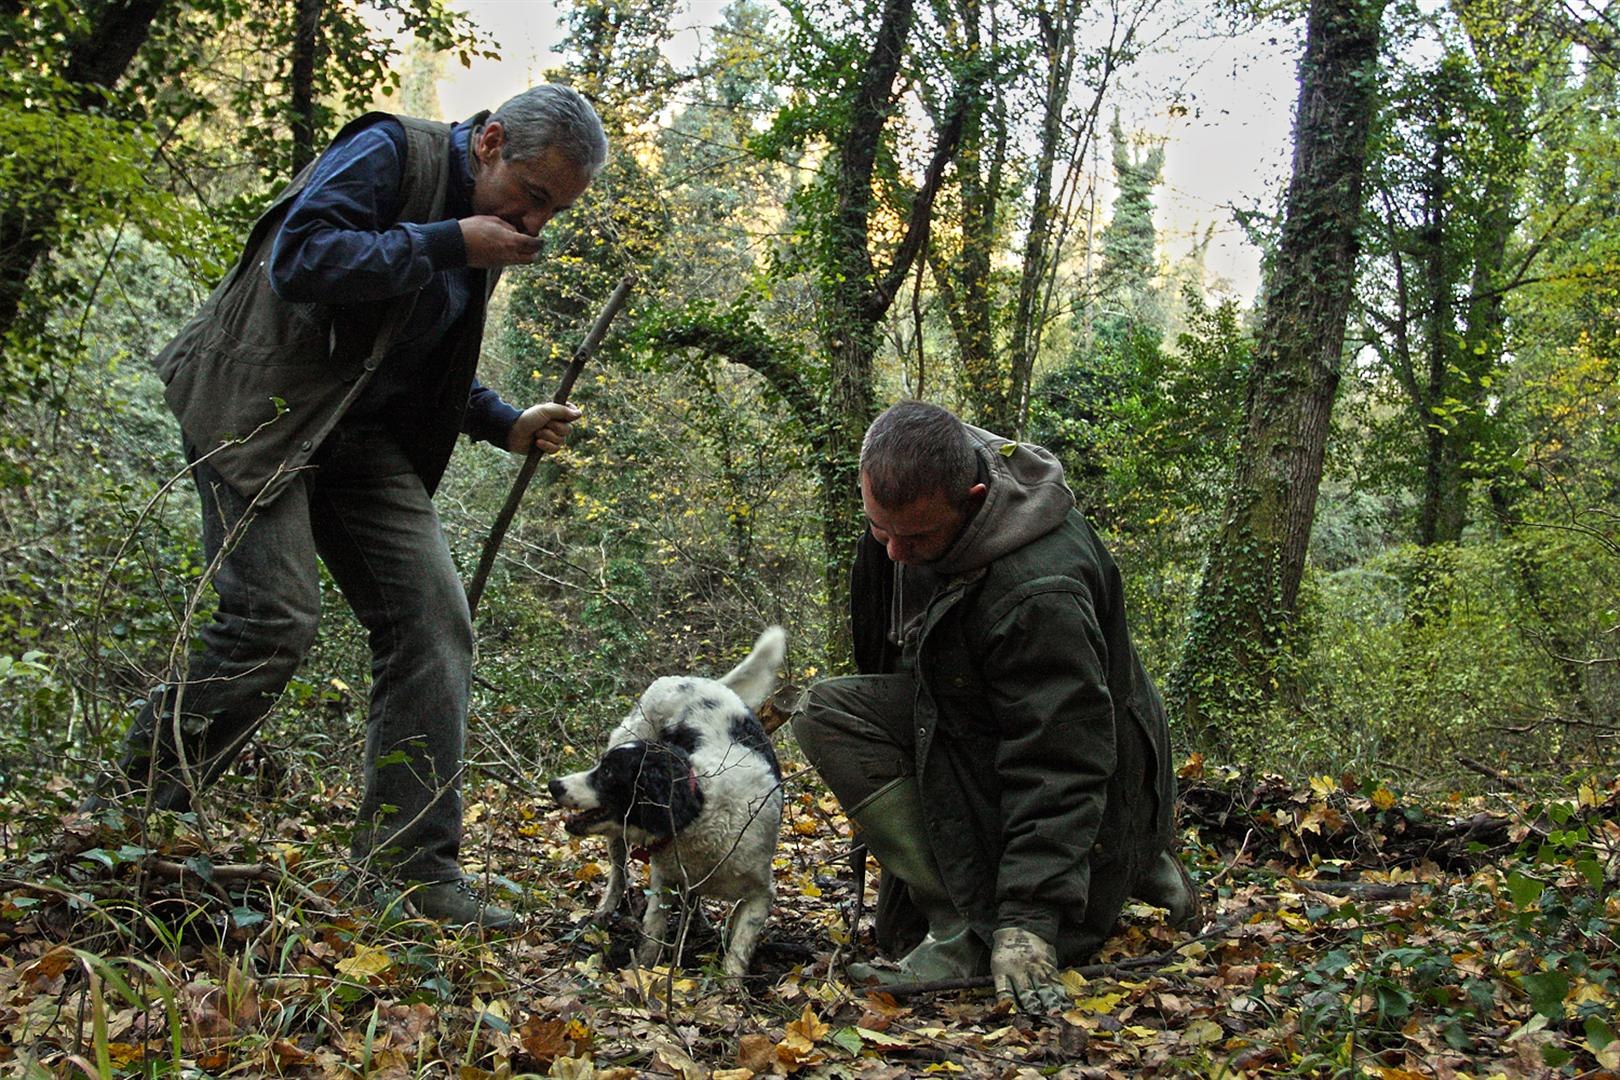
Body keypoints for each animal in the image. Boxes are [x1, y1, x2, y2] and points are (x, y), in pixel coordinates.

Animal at [547, 625, 787, 977]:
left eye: (608, 773)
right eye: (601, 766)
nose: (554, 785)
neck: (701, 810)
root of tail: (686, 679)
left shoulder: (759, 894)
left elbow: (738, 951)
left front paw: (729, 987)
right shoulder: (663, 880)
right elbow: (653, 930)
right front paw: (646, 972)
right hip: (617, 837)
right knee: (618, 874)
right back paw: (606, 909)